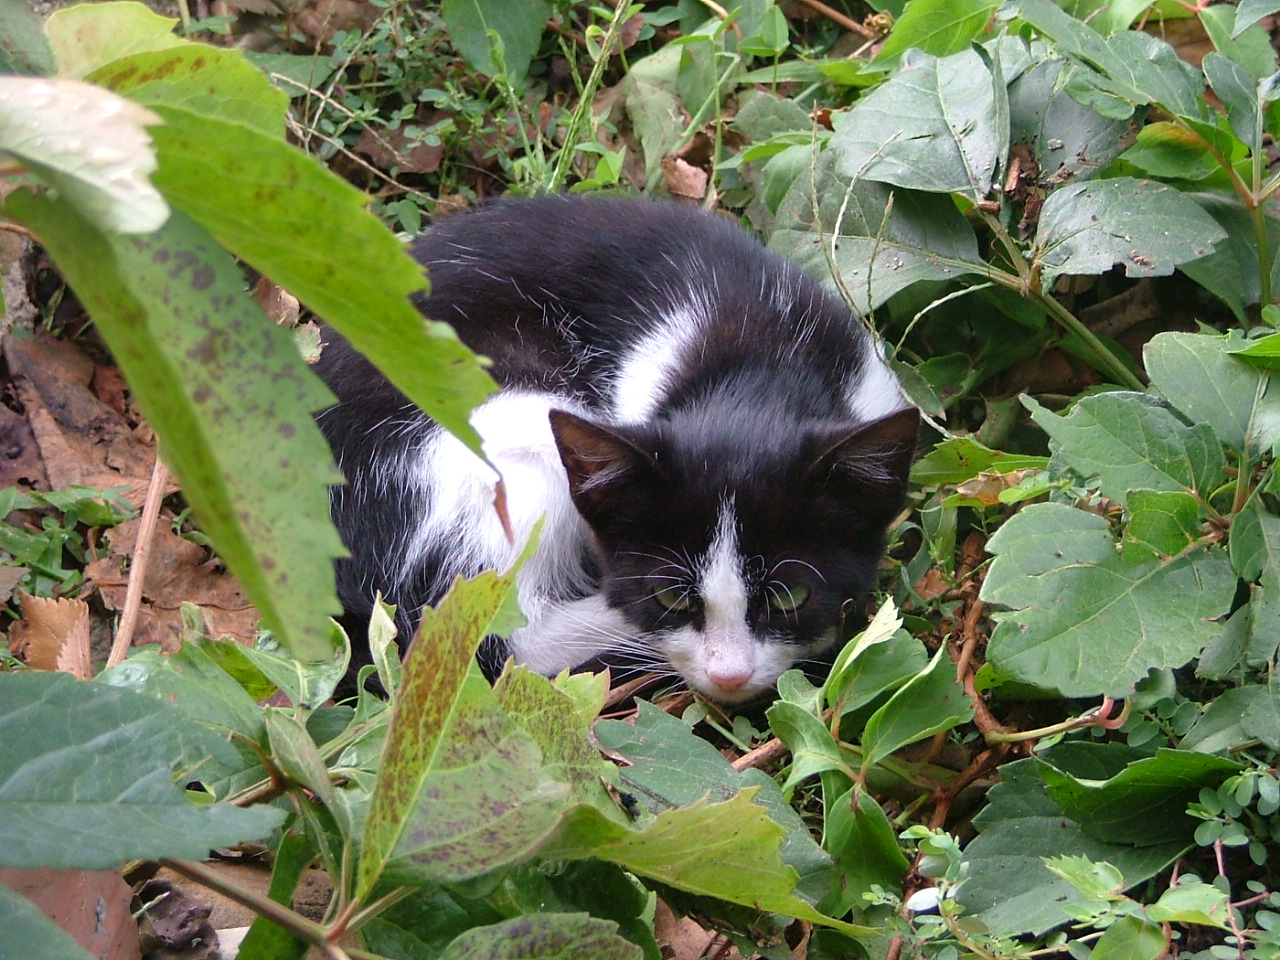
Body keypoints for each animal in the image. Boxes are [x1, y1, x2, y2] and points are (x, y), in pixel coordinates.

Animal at [313, 197, 916, 706]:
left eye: (791, 595)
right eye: (671, 597)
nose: (729, 676)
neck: (758, 367)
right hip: (506, 422)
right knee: (499, 636)